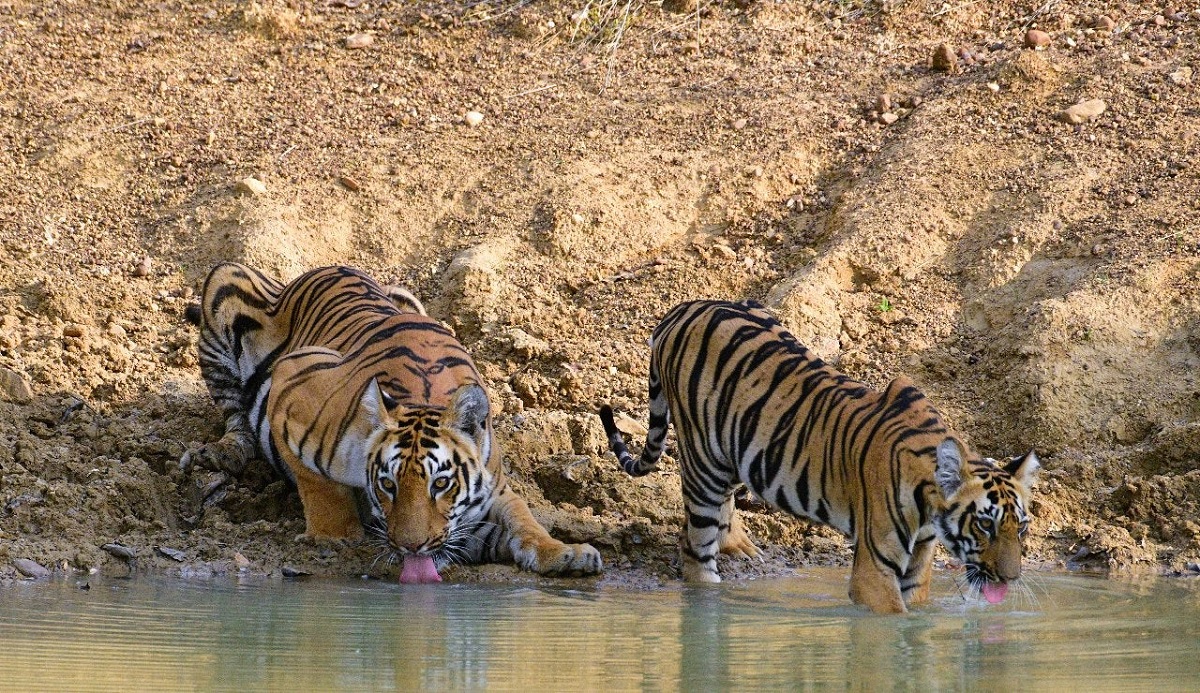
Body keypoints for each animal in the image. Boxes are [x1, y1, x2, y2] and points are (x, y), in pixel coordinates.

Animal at [182, 261, 604, 580]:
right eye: (387, 484)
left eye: (441, 484)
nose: (411, 546)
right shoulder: (292, 382)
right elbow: (318, 482)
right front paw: (335, 536)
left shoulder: (493, 492)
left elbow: (524, 521)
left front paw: (566, 553)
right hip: (225, 282)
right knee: (237, 419)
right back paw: (218, 453)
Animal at [600, 299, 1041, 611]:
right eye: (984, 525)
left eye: (1021, 528)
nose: (1011, 579)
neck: (929, 504)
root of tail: (681, 309)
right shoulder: (874, 571)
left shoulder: (918, 565)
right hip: (702, 459)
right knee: (695, 554)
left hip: (735, 448)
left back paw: (739, 545)